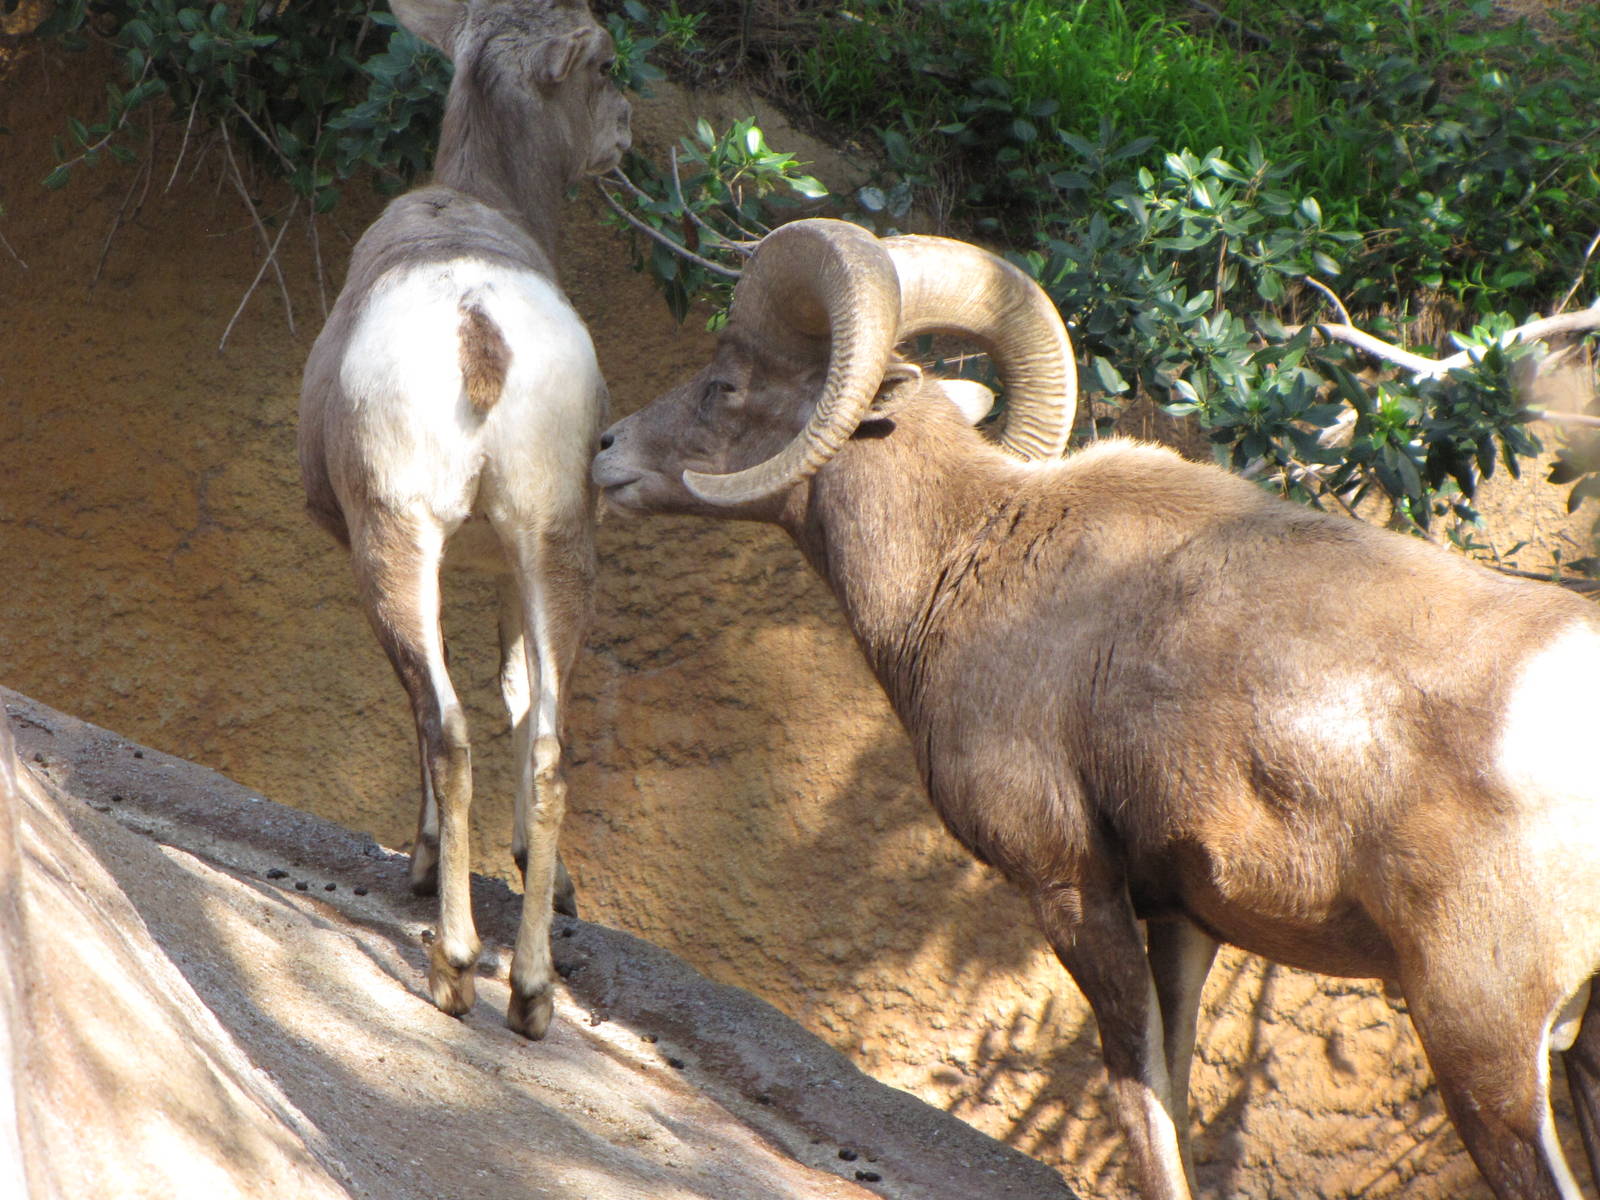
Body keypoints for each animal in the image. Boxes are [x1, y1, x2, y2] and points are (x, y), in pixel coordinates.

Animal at [298, 0, 629, 1038]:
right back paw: (530, 993)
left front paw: (419, 861)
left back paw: (452, 967)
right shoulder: (500, 570)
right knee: (551, 742)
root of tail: (475, 315)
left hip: (397, 543)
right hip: (556, 542)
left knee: (443, 723)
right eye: (608, 66)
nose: (625, 131)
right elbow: (521, 696)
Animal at [590, 218, 1600, 1199]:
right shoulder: (1187, 918)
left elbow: (1137, 1101)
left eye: (725, 386)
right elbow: (1174, 1093)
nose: (605, 450)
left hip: (1481, 1042)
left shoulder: (1070, 884)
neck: (960, 564)